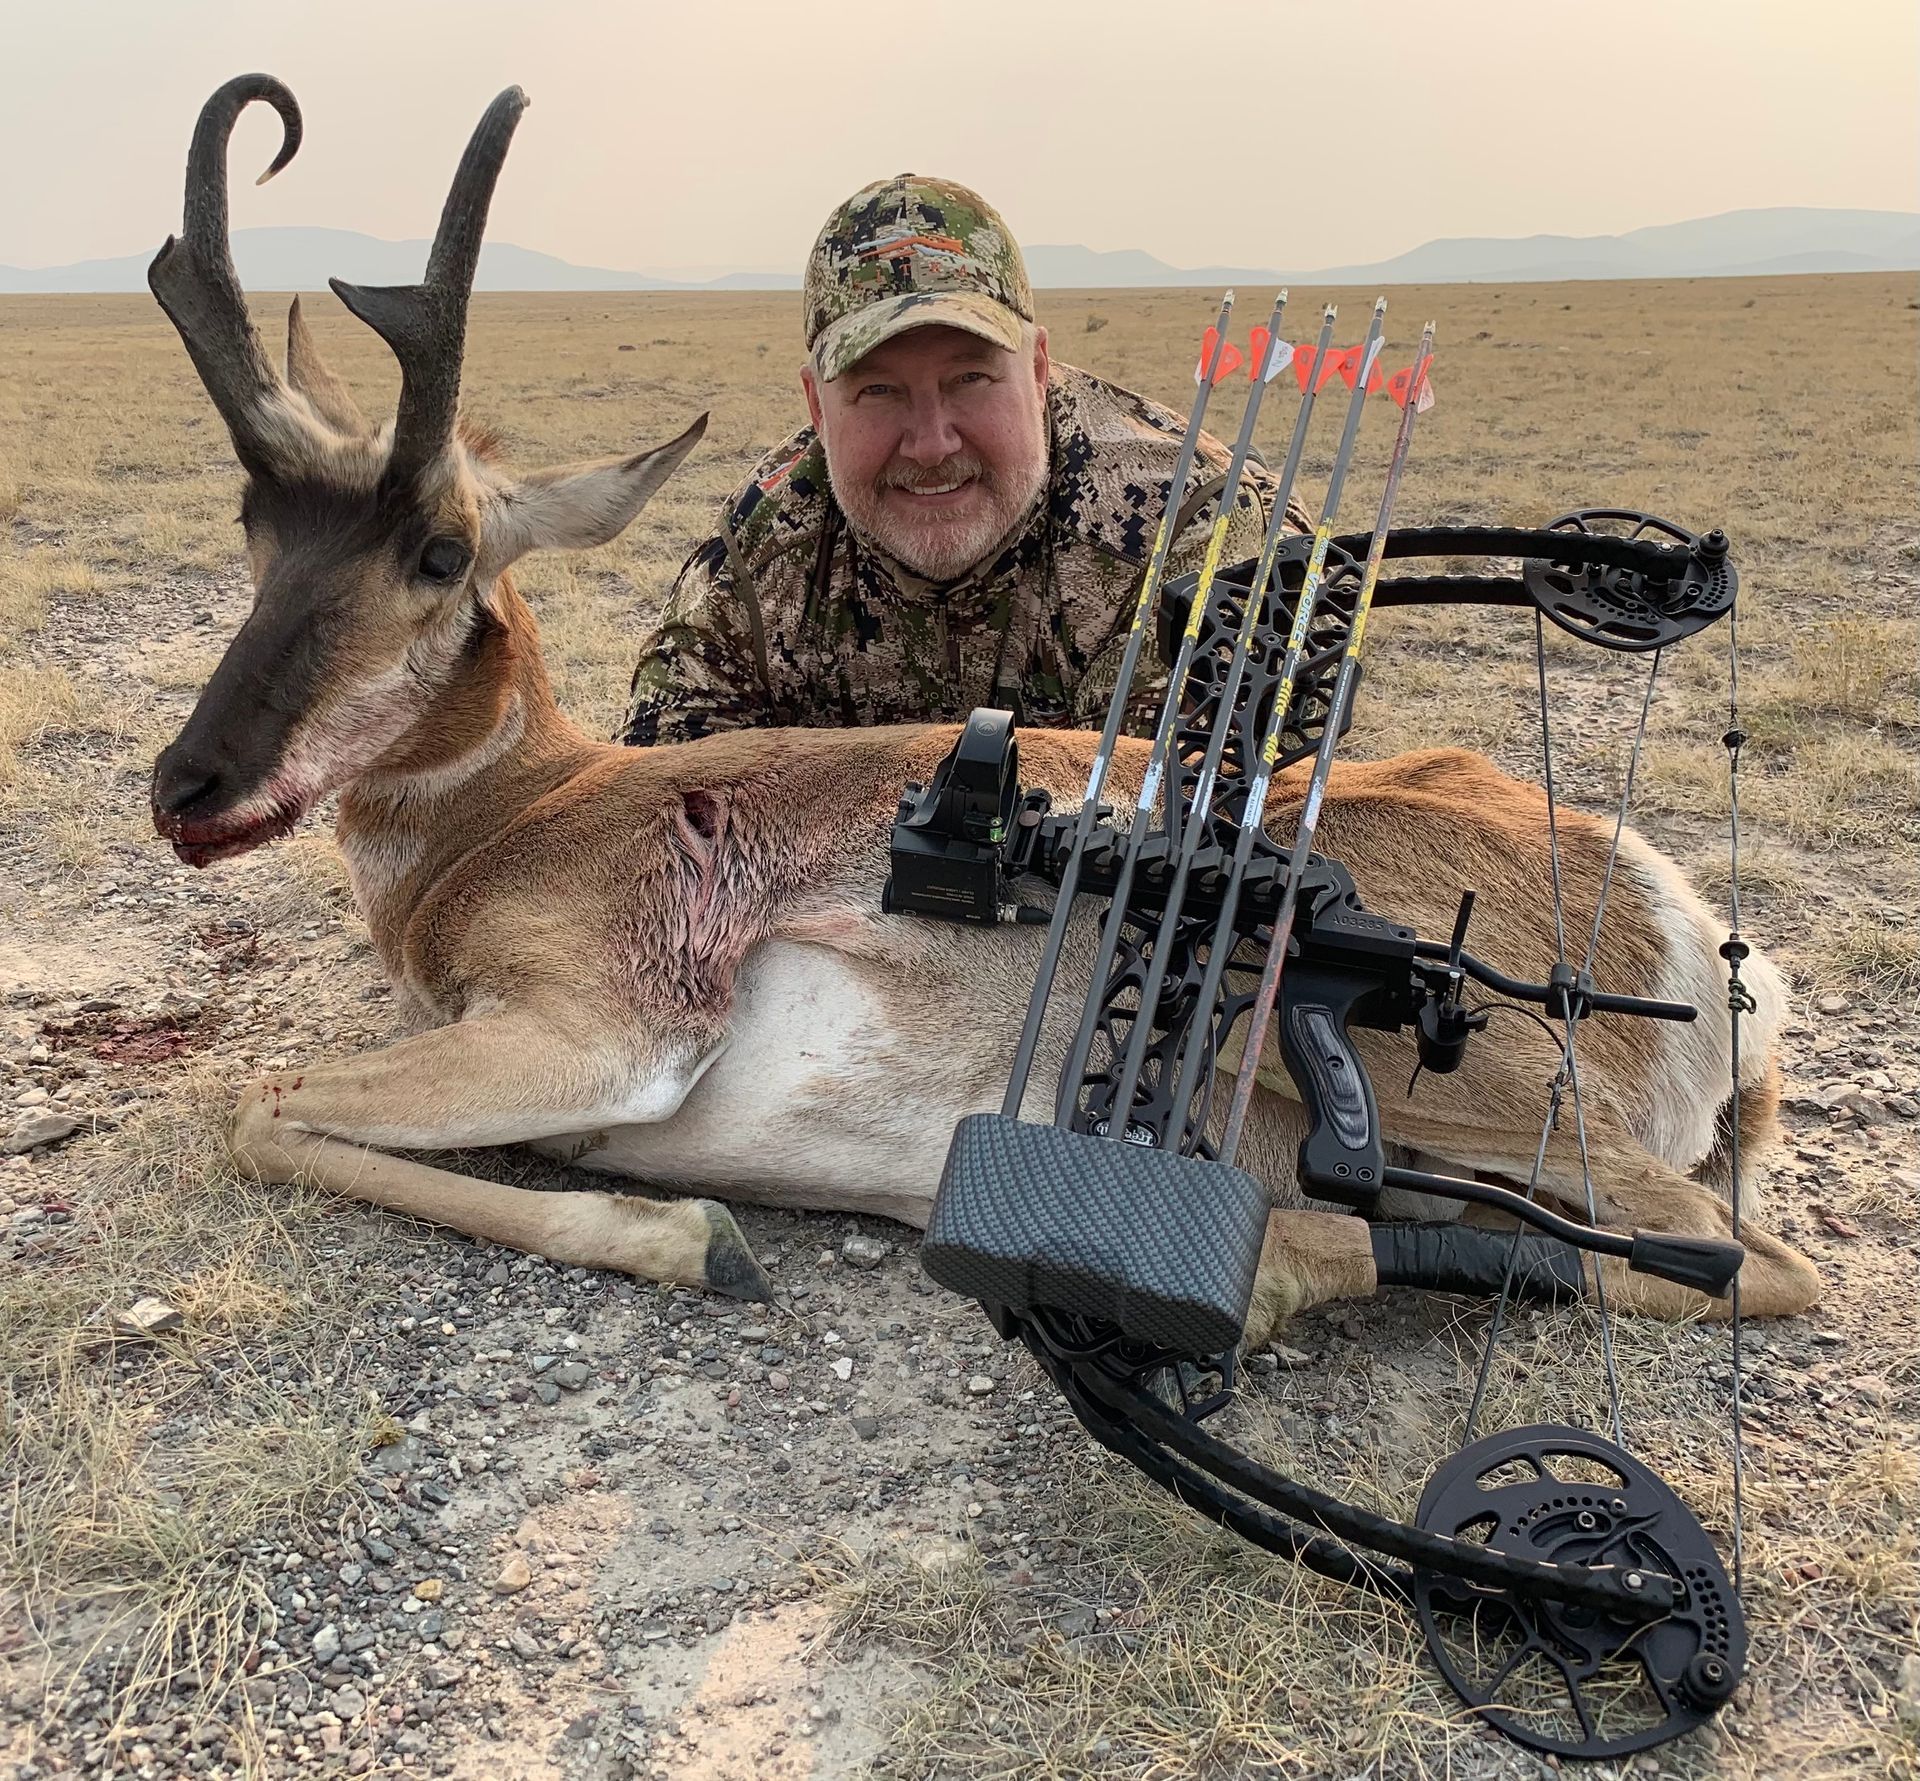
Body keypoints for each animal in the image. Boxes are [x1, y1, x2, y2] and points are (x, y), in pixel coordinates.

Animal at [147, 78, 1819, 1342]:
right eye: (255, 525)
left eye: (438, 550)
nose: (187, 786)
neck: (531, 807)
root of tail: (1673, 919)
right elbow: (268, 1110)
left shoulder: (595, 1035)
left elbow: (257, 1108)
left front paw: (698, 1238)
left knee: (1733, 1256)